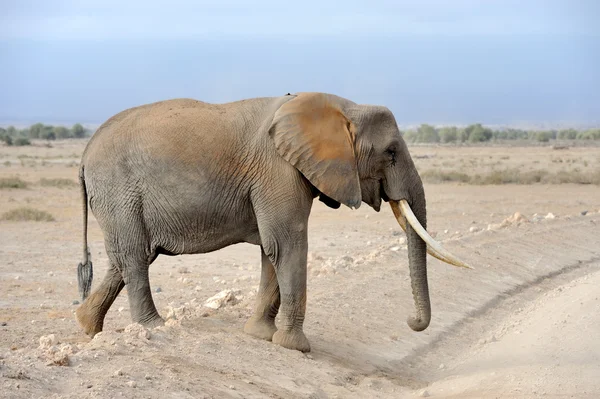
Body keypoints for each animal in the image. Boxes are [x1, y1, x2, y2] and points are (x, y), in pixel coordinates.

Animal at [75, 91, 468, 354]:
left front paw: (260, 336)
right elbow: (287, 243)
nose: (412, 323)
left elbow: (272, 247)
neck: (341, 105)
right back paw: (155, 327)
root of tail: (84, 153)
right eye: (390, 152)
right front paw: (296, 347)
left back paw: (88, 327)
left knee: (126, 257)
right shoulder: (278, 170)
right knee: (135, 256)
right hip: (118, 188)